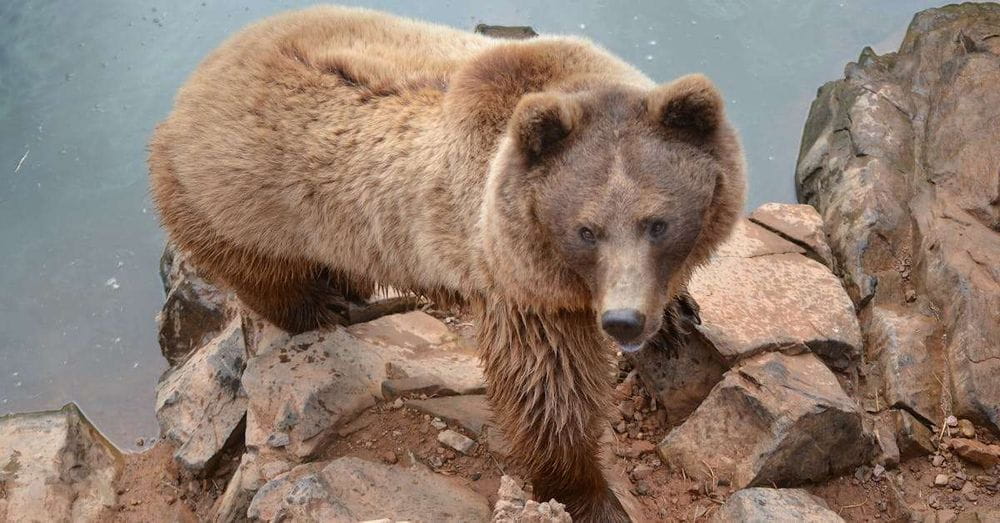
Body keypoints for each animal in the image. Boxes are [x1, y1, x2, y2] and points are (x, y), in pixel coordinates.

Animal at [148, 6, 744, 520]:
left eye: (658, 222)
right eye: (585, 230)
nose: (624, 321)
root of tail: (197, 78)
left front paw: (680, 315)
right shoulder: (514, 281)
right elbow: (548, 393)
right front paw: (593, 496)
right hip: (244, 204)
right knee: (271, 278)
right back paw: (334, 304)